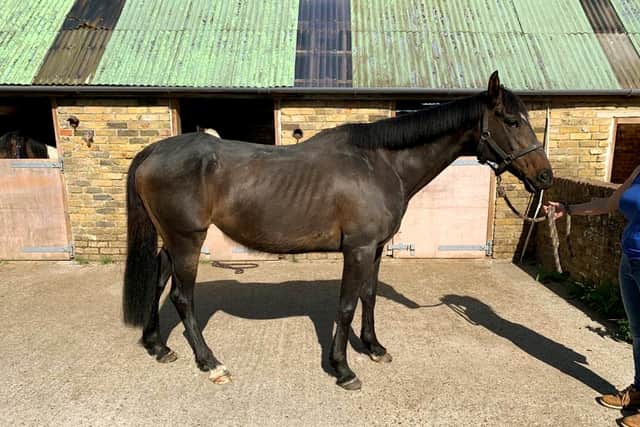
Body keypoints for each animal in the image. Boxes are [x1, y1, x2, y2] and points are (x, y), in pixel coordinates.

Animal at [122, 71, 553, 390]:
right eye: (511, 121)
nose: (545, 177)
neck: (380, 163)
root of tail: (152, 151)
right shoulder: (358, 249)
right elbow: (345, 306)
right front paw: (343, 369)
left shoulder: (375, 249)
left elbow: (369, 297)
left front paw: (374, 348)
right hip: (188, 241)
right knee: (182, 297)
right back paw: (210, 362)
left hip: (172, 241)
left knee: (158, 282)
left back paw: (156, 346)